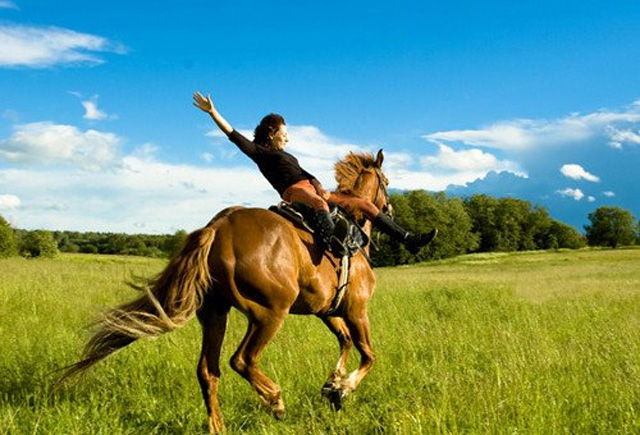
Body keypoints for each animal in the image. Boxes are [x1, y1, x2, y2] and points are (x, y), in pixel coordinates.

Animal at [61, 149, 390, 432]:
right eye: (386, 183)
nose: (388, 207)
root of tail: (218, 228)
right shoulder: (357, 310)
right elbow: (368, 354)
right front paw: (343, 388)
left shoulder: (327, 311)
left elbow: (345, 341)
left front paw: (333, 385)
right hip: (268, 314)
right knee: (241, 360)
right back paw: (275, 400)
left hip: (215, 314)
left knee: (208, 371)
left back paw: (218, 426)